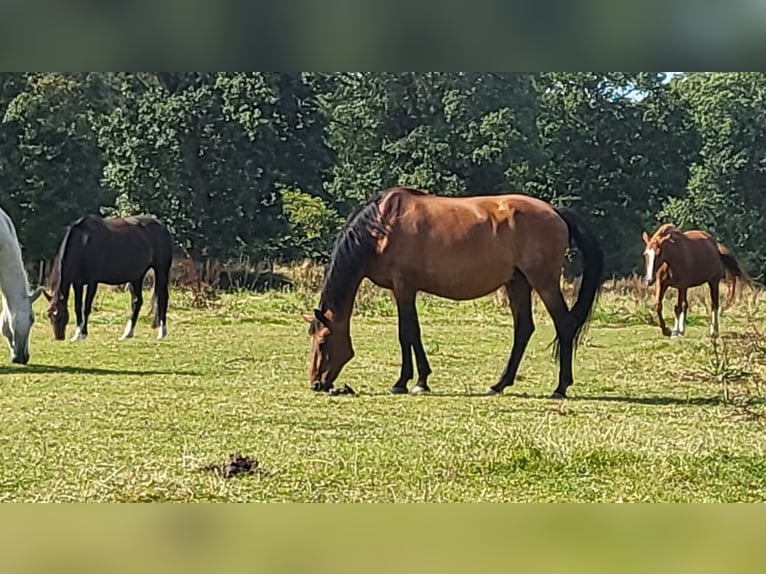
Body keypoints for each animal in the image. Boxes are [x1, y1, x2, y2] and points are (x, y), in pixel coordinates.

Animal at [306, 189, 608, 400]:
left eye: (323, 341)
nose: (316, 384)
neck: (382, 228)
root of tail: (555, 211)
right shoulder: (402, 290)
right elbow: (413, 333)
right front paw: (421, 380)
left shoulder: (404, 287)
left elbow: (406, 333)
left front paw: (403, 382)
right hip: (518, 283)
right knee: (523, 329)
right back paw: (499, 384)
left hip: (543, 281)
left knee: (564, 324)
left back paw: (560, 387)